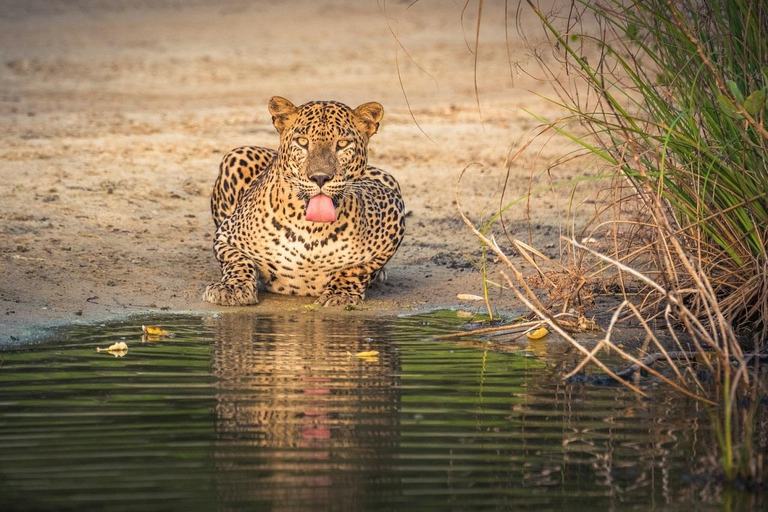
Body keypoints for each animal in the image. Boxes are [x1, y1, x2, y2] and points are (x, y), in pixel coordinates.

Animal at [204, 96, 404, 308]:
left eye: (342, 144)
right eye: (302, 142)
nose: (320, 177)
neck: (311, 230)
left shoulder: (393, 211)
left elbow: (358, 268)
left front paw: (340, 294)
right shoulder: (226, 235)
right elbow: (238, 260)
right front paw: (233, 288)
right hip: (237, 155)